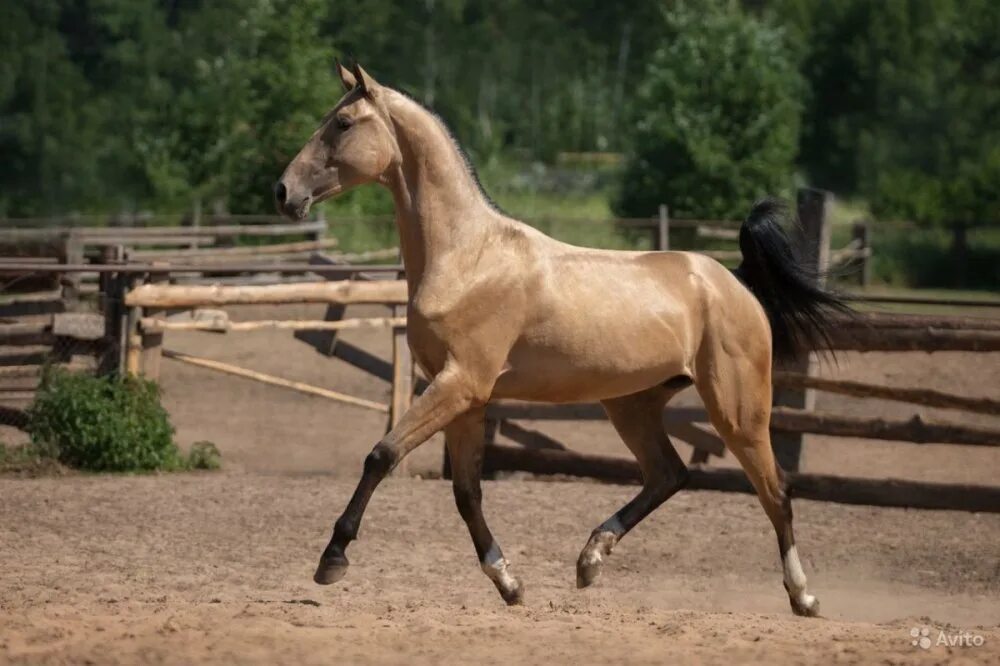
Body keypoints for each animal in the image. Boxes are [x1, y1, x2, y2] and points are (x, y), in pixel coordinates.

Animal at [274, 62, 844, 612]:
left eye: (342, 123)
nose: (283, 192)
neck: (467, 257)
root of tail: (734, 282)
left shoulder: (460, 384)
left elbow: (383, 455)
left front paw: (332, 560)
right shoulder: (465, 397)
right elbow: (466, 493)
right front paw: (509, 584)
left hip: (738, 409)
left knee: (775, 492)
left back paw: (804, 596)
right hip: (632, 404)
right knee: (669, 474)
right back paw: (590, 560)